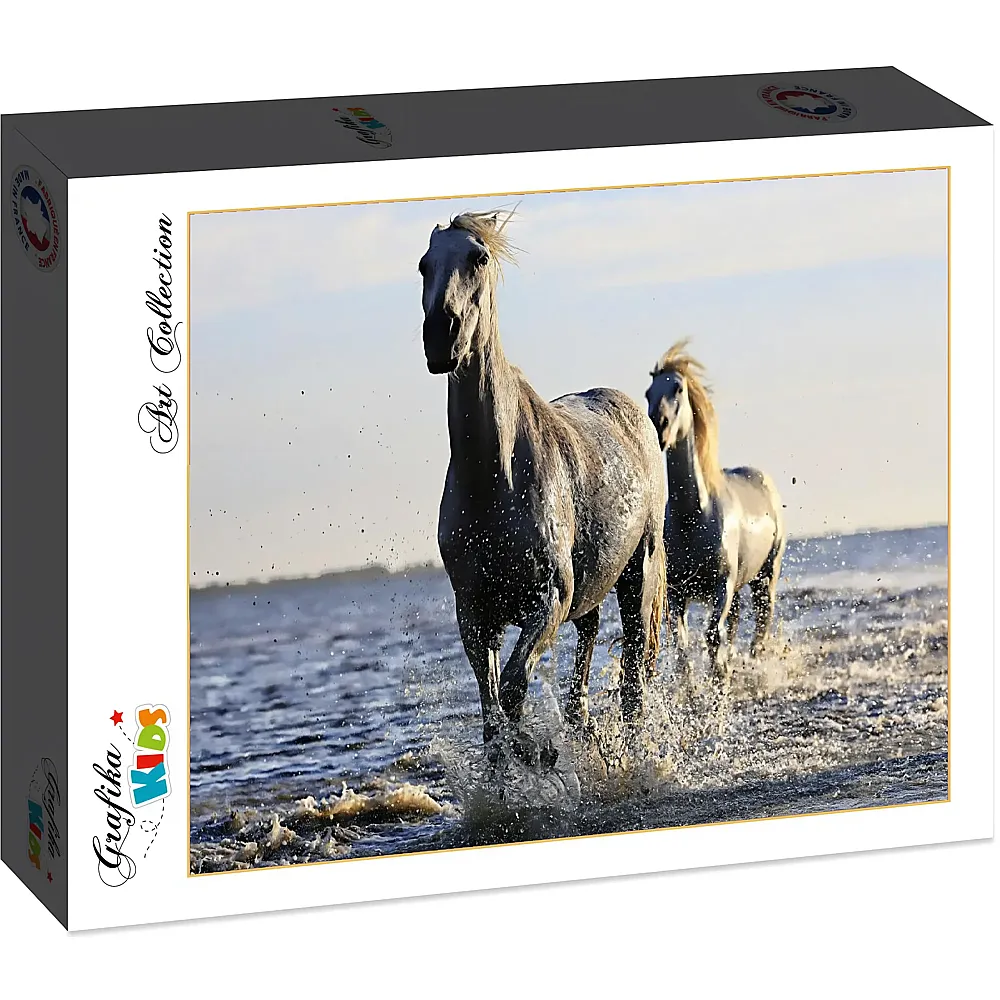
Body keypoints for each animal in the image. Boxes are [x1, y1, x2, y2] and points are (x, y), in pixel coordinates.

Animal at [419, 210, 667, 767]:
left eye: (478, 258)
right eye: (424, 264)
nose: (441, 335)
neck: (495, 479)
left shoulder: (547, 599)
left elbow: (513, 688)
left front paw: (538, 754)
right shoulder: (475, 614)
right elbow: (491, 713)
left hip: (637, 576)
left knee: (634, 680)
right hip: (592, 592)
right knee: (587, 656)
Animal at [644, 341, 785, 684]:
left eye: (678, 388)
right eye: (648, 392)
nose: (659, 425)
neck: (694, 517)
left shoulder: (722, 585)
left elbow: (712, 637)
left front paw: (719, 683)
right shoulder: (677, 593)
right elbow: (683, 647)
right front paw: (693, 692)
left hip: (766, 575)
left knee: (761, 622)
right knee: (734, 624)